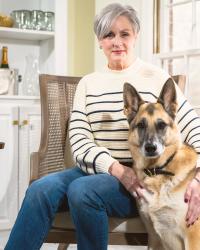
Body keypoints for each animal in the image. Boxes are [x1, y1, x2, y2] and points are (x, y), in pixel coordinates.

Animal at [122, 78, 200, 250]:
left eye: (162, 125)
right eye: (141, 125)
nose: (151, 148)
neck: (157, 171)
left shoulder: (193, 238)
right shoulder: (153, 237)